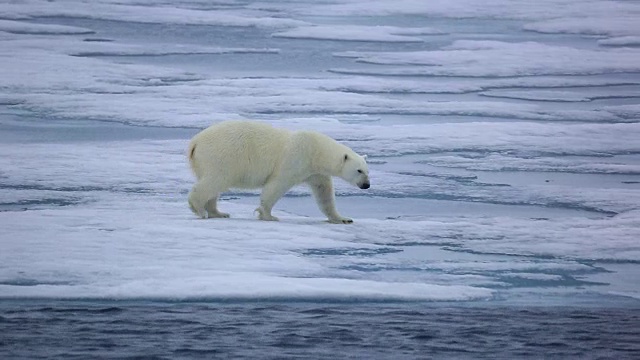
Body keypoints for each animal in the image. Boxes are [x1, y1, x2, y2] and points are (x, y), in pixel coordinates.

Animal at [186, 120, 370, 222]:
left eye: (368, 171)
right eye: (359, 171)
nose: (367, 185)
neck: (316, 151)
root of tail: (195, 143)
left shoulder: (315, 172)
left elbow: (324, 193)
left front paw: (343, 218)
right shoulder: (295, 159)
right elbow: (276, 185)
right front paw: (268, 215)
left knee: (214, 187)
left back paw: (218, 212)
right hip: (222, 156)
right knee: (215, 181)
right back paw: (200, 209)